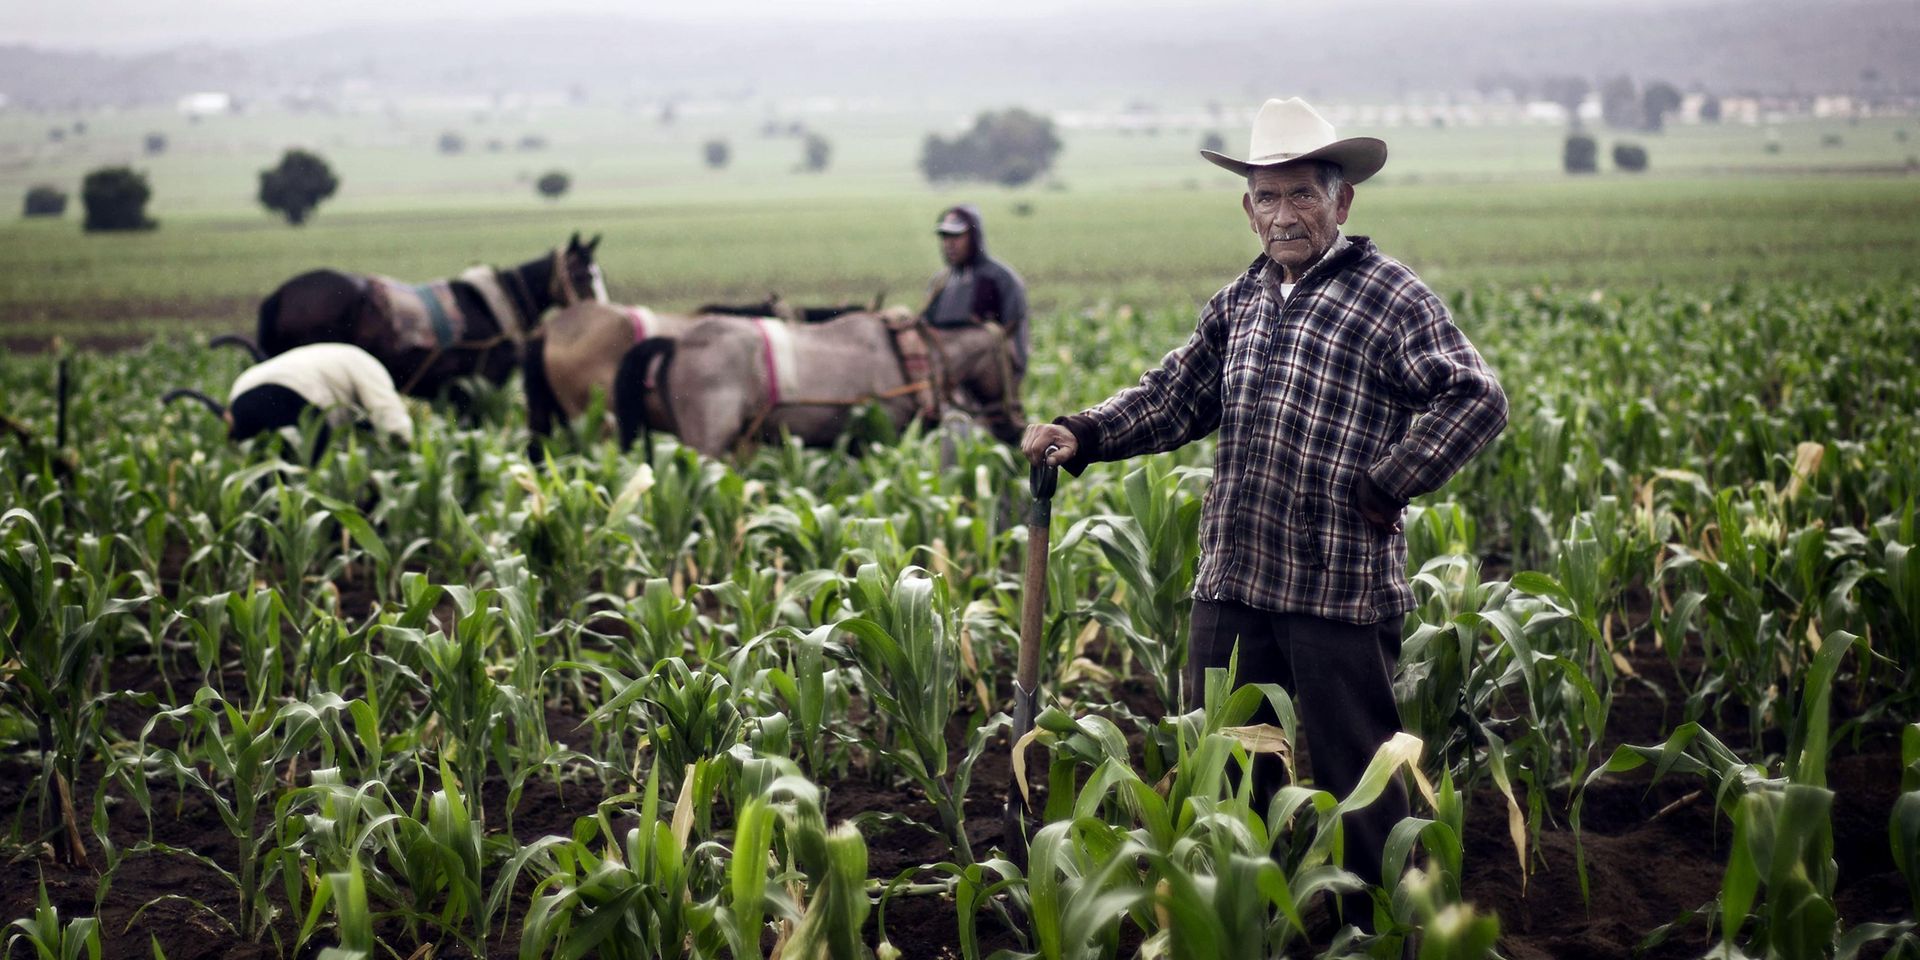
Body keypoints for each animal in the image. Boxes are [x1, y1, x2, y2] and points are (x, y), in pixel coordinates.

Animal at [223, 232, 614, 401]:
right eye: (582, 274)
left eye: (598, 272)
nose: (603, 311)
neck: (491, 308)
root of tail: (279, 296)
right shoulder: (475, 390)